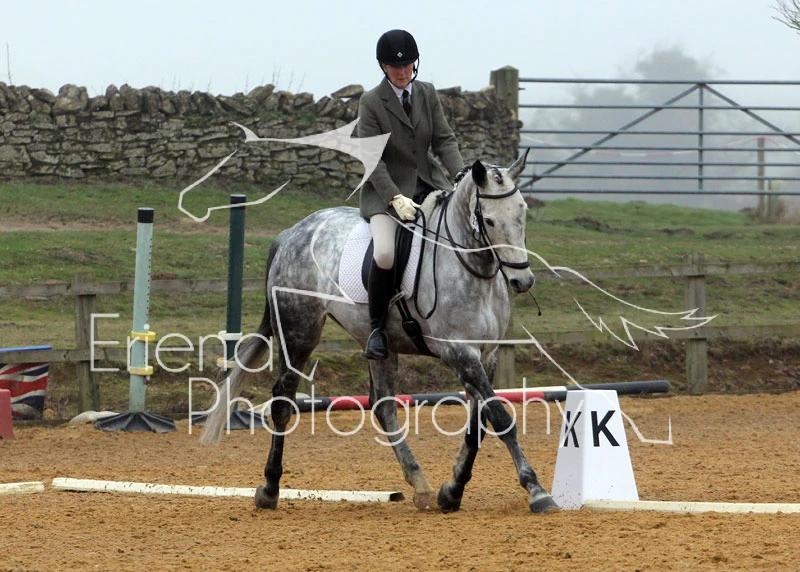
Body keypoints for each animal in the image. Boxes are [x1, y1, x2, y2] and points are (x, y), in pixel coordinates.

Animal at [200, 150, 559, 514]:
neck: (471, 268)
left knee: (383, 406)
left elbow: (478, 426)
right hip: (298, 333)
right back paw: (270, 489)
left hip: (379, 344)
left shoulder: (486, 355)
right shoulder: (459, 352)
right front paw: (537, 490)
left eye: (522, 214)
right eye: (489, 221)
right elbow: (500, 418)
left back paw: (421, 486)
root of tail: (292, 233)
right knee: (283, 401)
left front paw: (452, 491)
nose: (522, 281)